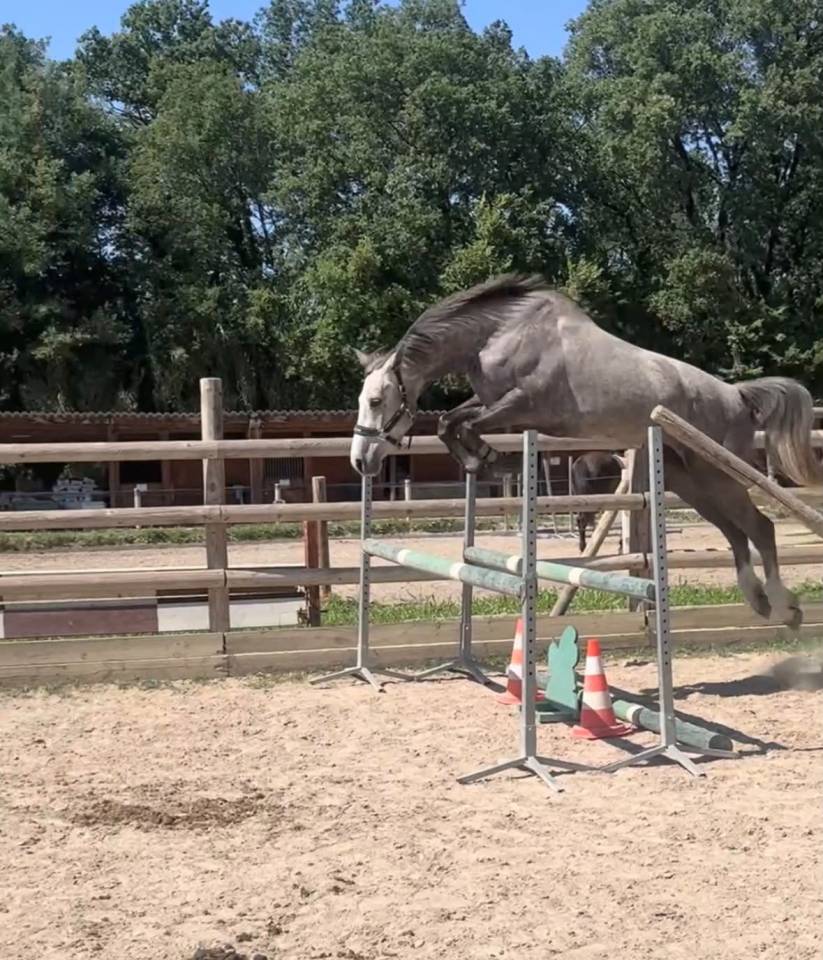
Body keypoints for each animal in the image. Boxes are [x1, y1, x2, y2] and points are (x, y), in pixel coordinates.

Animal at [350, 274, 822, 629]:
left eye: (375, 400)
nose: (361, 461)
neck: (501, 333)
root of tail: (737, 396)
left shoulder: (522, 404)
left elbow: (462, 424)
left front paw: (484, 459)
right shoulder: (490, 401)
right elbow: (450, 421)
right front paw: (480, 459)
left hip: (717, 472)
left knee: (760, 528)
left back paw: (784, 606)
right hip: (689, 479)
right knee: (736, 534)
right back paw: (758, 601)